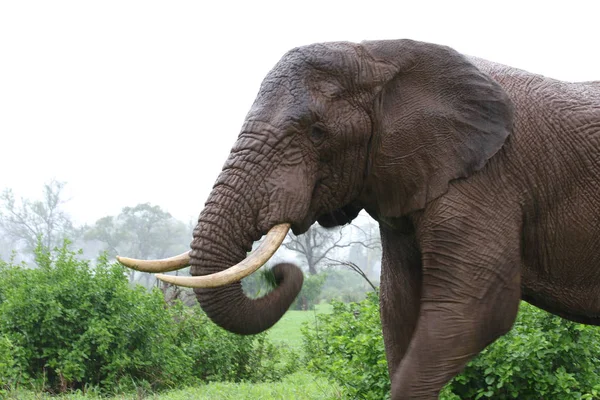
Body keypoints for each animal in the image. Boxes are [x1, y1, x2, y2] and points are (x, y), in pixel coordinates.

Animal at [117, 39, 600, 398]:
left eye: (316, 133)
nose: (282, 272)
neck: (384, 59)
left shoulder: (486, 179)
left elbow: (476, 311)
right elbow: (399, 309)